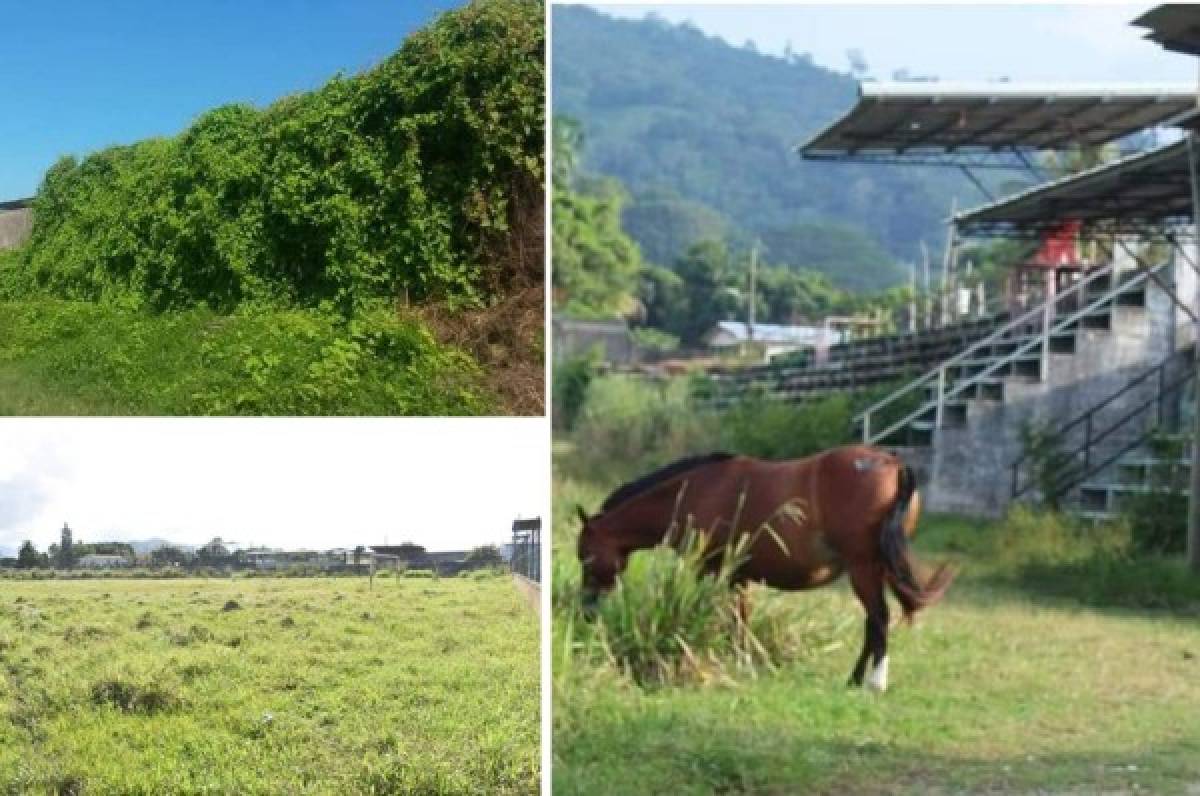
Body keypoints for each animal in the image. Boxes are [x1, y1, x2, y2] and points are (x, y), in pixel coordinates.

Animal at [573, 444, 955, 696]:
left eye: (584, 556)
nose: (586, 610)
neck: (695, 489)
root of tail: (892, 463)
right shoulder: (737, 577)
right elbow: (740, 620)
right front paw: (744, 664)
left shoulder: (713, 572)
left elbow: (726, 618)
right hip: (880, 568)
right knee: (872, 623)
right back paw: (854, 679)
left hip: (864, 568)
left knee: (878, 619)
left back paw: (874, 683)